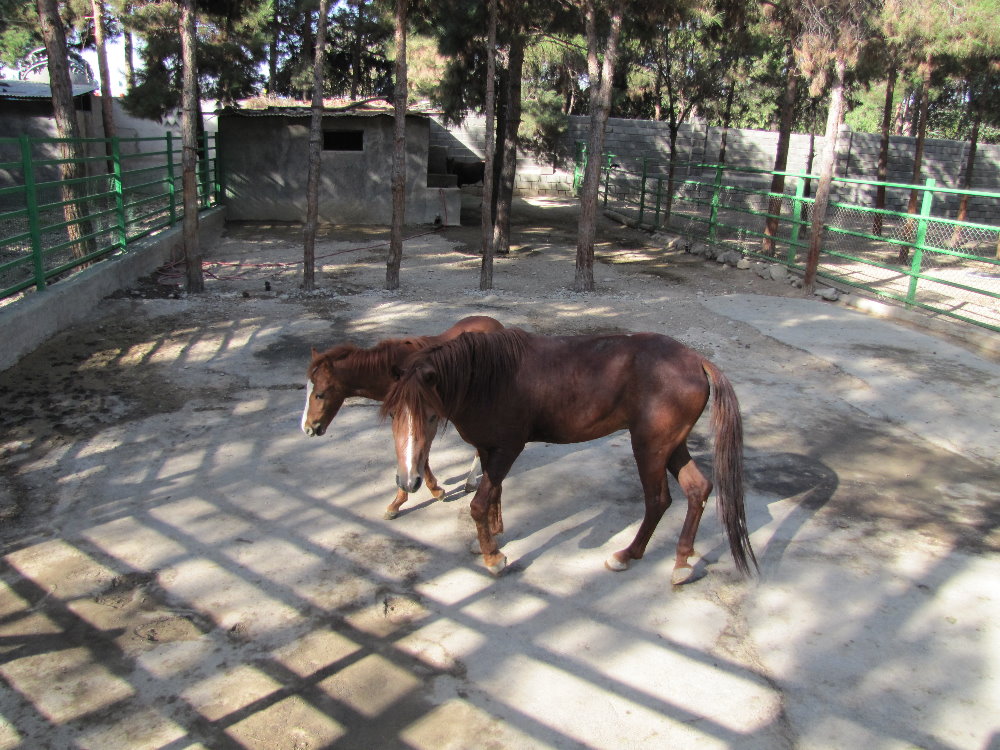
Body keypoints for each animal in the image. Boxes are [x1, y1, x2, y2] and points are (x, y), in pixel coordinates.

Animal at [302, 315, 504, 520]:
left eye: (319, 395)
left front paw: (402, 501)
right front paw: (433, 490)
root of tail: (497, 325)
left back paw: (471, 481)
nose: (308, 428)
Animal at [380, 327, 757, 585]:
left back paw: (626, 555)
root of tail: (696, 360)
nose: (408, 480)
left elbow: (478, 503)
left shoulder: (508, 448)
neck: (492, 378)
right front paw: (493, 537)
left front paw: (492, 558)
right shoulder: (489, 450)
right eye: (394, 413)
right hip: (670, 446)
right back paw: (681, 563)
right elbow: (493, 495)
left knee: (658, 500)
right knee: (697, 489)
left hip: (650, 447)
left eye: (431, 416)